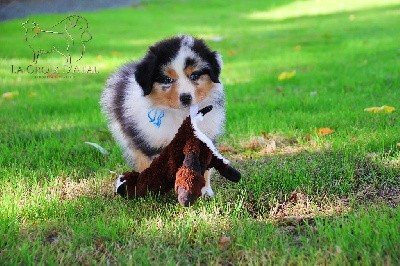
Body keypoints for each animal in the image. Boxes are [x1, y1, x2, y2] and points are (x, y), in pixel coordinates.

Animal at [100, 34, 225, 197]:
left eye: (194, 75)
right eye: (167, 80)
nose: (186, 98)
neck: (180, 114)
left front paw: (204, 192)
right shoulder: (152, 141)